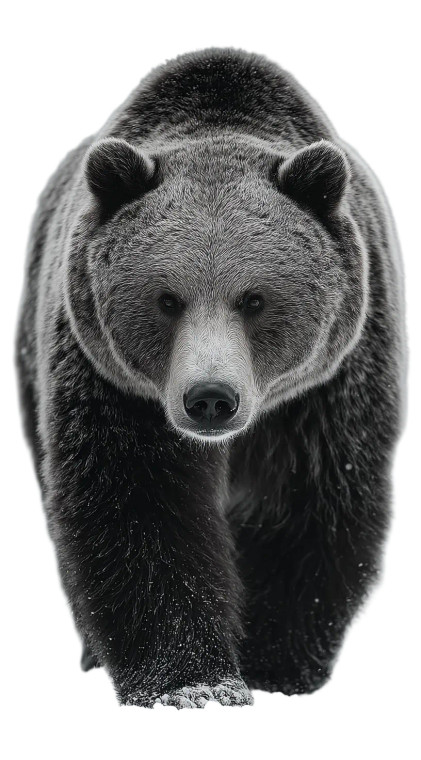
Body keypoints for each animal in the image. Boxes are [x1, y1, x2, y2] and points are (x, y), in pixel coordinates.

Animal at [16, 47, 406, 708]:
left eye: (254, 298)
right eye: (167, 298)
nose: (210, 398)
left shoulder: (326, 393)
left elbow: (304, 506)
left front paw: (275, 666)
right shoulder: (113, 389)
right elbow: (139, 510)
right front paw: (192, 683)